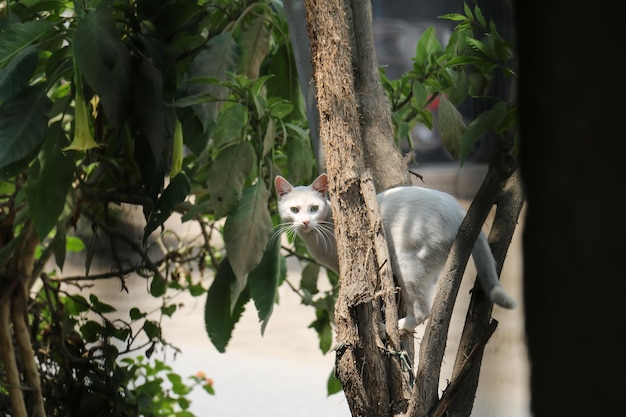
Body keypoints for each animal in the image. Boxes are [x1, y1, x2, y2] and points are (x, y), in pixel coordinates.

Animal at [276, 172, 516, 332]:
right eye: (294, 210)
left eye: (314, 208)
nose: (305, 222)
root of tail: (460, 212)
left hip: (407, 262)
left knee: (423, 311)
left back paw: (391, 327)